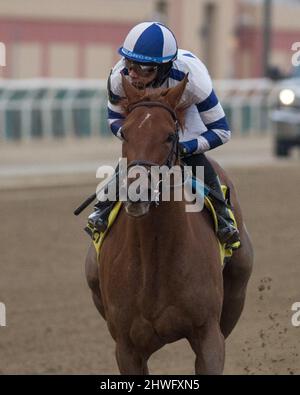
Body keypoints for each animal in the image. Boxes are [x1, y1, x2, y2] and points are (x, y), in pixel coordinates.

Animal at [85, 74, 253, 374]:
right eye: (125, 133)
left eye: (170, 135)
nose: (137, 192)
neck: (155, 257)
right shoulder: (127, 348)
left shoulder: (209, 335)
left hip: (237, 289)